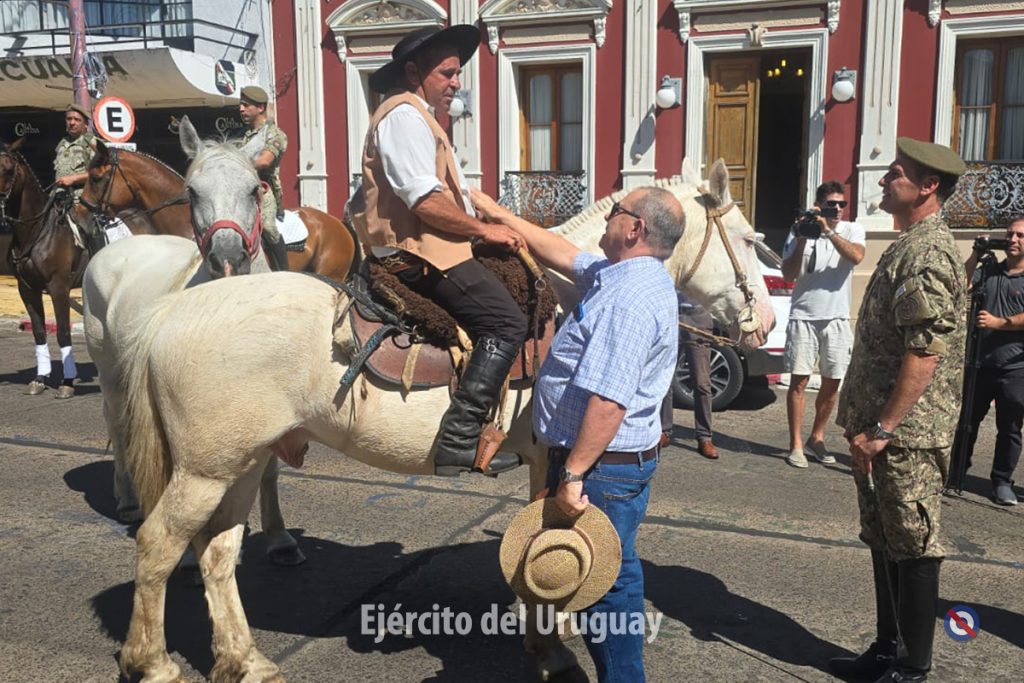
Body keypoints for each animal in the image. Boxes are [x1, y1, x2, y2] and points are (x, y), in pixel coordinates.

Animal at [87, 159, 774, 681]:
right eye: (748, 239)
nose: (765, 321)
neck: (576, 298)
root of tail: (170, 312)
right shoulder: (556, 459)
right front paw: (551, 649)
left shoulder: (546, 462)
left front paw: (542, 638)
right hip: (206, 470)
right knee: (158, 545)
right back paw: (152, 663)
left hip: (243, 460)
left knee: (216, 554)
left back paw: (246, 659)